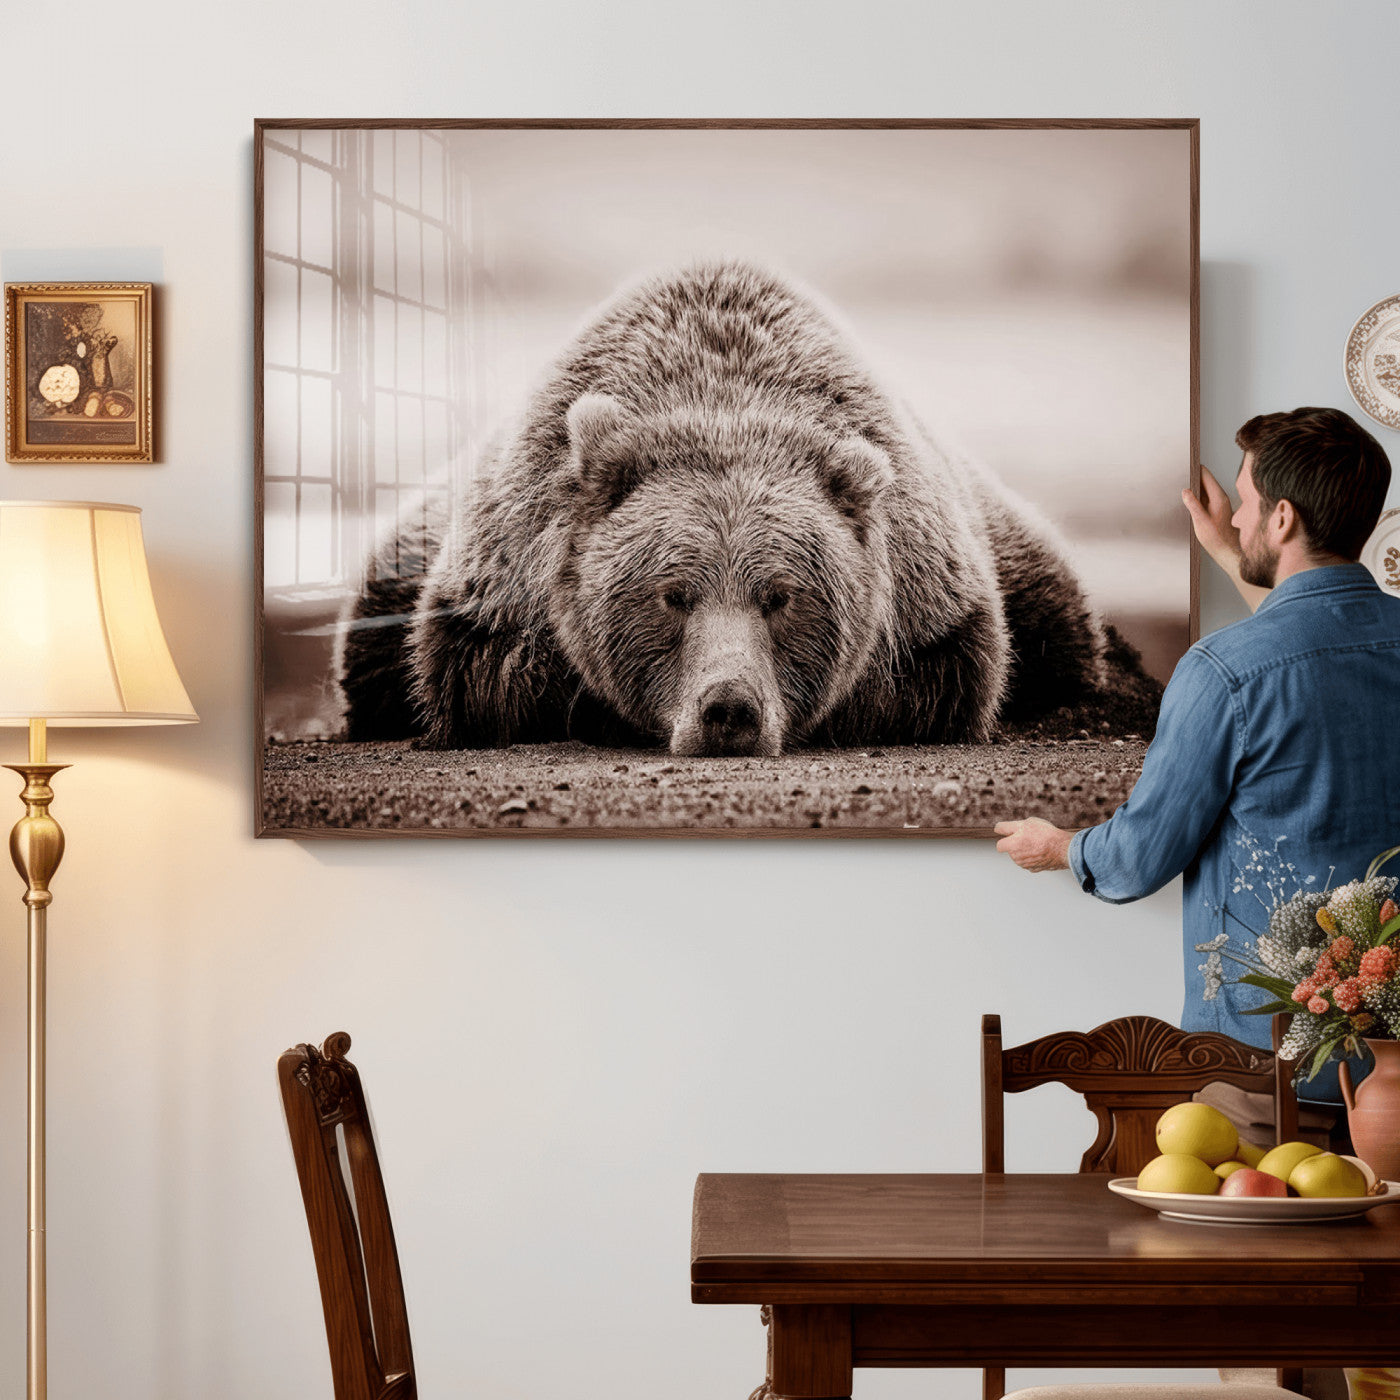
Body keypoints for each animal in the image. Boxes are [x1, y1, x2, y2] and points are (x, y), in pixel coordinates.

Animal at [337, 260, 1143, 756]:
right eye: (672, 594)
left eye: (781, 596)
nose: (729, 709)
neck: (722, 397)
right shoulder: (504, 570)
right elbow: (483, 676)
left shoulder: (930, 594)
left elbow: (945, 676)